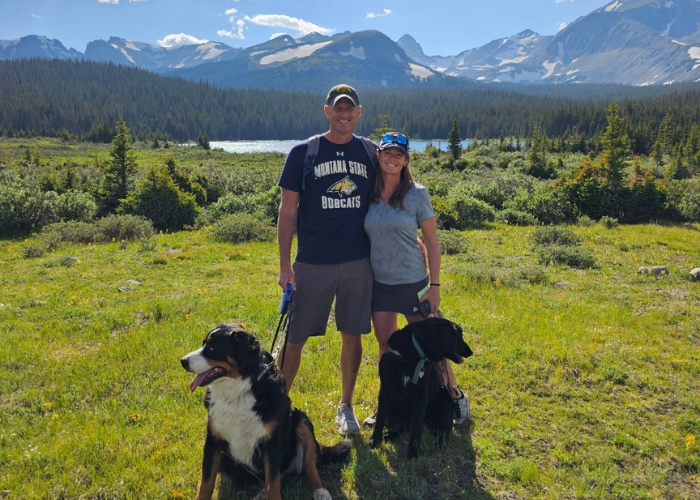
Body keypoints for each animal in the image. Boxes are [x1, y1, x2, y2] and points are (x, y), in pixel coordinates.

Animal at [180, 324, 350, 500]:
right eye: (203, 344)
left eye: (212, 348)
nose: (183, 361)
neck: (237, 393)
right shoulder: (213, 440)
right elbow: (206, 481)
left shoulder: (272, 443)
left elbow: (273, 481)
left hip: (302, 421)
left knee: (309, 464)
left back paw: (320, 491)